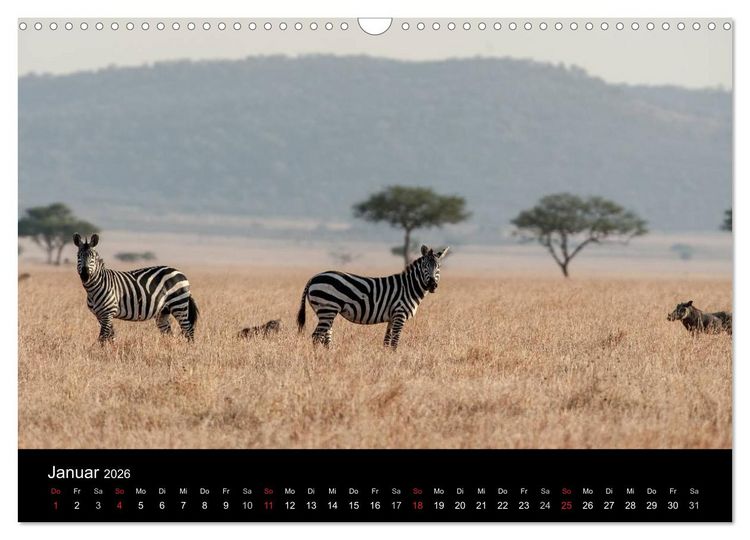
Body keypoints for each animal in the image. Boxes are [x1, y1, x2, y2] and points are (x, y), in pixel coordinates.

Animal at [297, 245, 449, 349]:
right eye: (425, 266)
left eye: (439, 267)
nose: (432, 285)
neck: (409, 287)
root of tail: (313, 277)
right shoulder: (400, 314)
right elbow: (395, 342)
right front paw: (394, 359)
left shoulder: (392, 317)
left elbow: (386, 341)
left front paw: (386, 358)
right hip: (327, 308)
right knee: (316, 336)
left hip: (326, 312)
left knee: (325, 337)